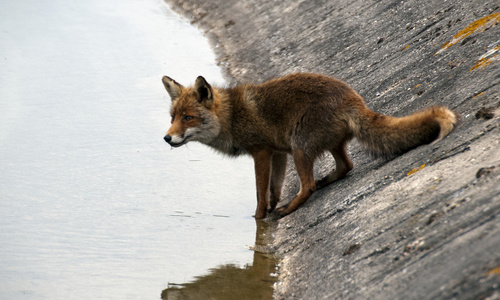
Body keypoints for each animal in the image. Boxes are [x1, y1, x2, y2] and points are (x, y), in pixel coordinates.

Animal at [161, 72, 458, 218]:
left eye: (188, 118)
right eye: (172, 117)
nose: (166, 138)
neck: (232, 116)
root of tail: (353, 98)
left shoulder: (262, 151)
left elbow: (260, 194)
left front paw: (259, 218)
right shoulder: (277, 153)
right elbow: (274, 190)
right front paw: (270, 209)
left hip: (300, 148)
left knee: (309, 185)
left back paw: (288, 210)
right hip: (316, 147)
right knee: (346, 166)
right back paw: (325, 183)